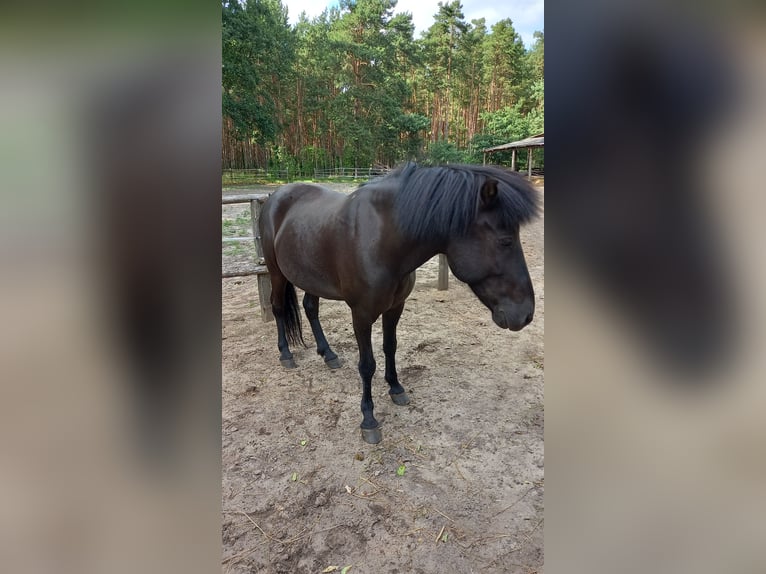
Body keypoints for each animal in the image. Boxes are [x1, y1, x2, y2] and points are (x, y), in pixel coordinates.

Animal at [258, 164, 540, 444]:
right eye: (505, 241)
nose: (526, 314)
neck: (381, 239)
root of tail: (275, 195)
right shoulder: (361, 315)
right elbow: (367, 365)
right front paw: (368, 419)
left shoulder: (395, 308)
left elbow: (390, 347)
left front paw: (395, 388)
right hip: (276, 272)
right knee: (278, 308)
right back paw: (286, 354)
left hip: (310, 276)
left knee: (310, 308)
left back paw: (328, 354)